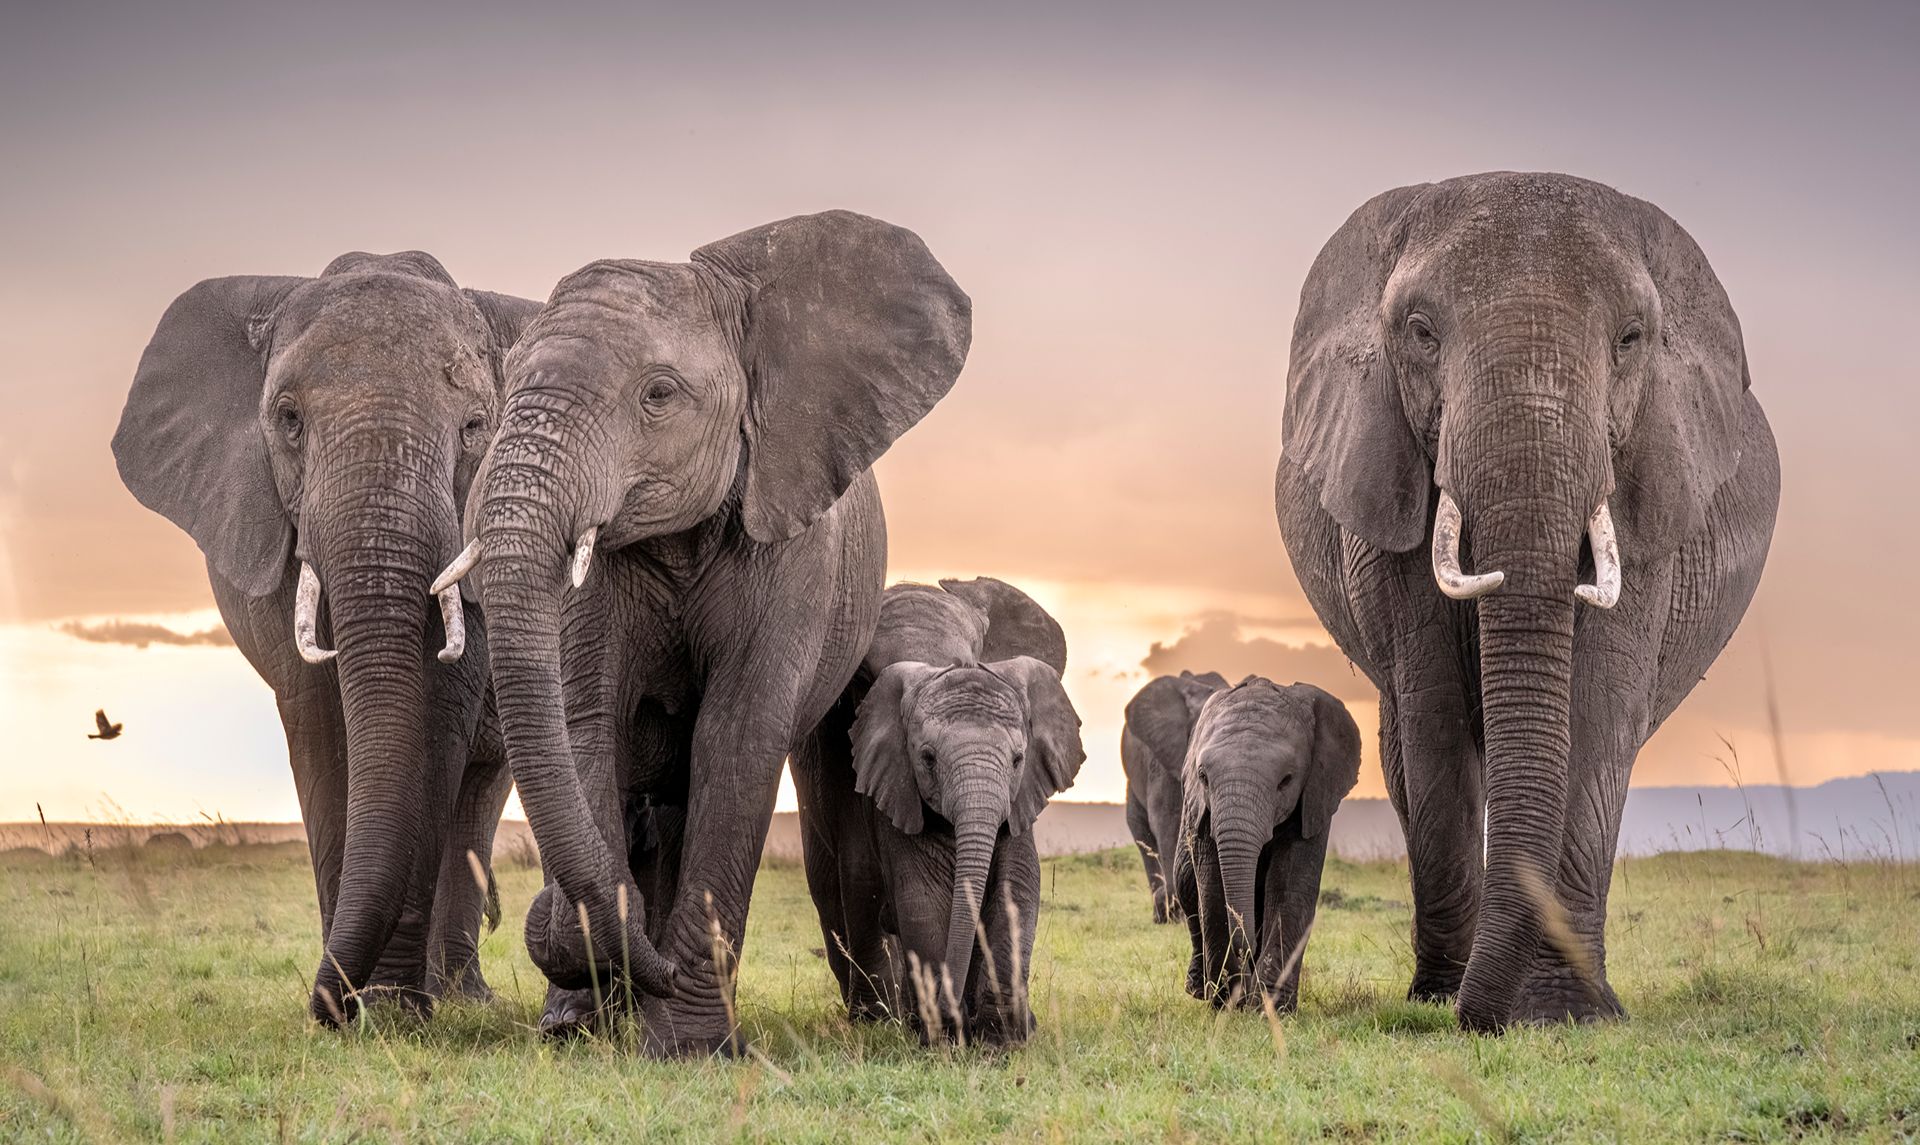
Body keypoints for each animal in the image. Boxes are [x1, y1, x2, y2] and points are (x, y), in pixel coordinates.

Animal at [112, 252, 541, 1023]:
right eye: (288, 420)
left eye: (475, 427)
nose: (329, 1004)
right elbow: (314, 715)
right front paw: (356, 1007)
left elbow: (439, 715)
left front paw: (393, 1010)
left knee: (481, 789)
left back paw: (462, 999)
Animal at [430, 211, 970, 1055]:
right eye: (505, 385)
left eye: (659, 394)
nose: (531, 916)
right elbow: (588, 719)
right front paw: (600, 997)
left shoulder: (793, 540)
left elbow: (737, 733)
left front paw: (690, 1044)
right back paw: (579, 1018)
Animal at [820, 578, 1082, 1045]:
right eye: (927, 759)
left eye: (1018, 759)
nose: (950, 1012)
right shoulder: (896, 784)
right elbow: (922, 898)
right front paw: (944, 1036)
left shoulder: (1018, 800)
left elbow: (1017, 887)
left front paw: (1003, 1039)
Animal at [1170, 677, 1359, 1012]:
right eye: (1203, 776)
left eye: (1286, 780)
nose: (1247, 951)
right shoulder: (1202, 812)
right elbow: (1212, 891)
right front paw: (1227, 1004)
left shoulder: (1313, 800)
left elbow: (1288, 887)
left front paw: (1270, 1009)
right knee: (1187, 888)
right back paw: (1200, 989)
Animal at [1274, 172, 1779, 1031]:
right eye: (1420, 332)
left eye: (1631, 339)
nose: (1474, 1018)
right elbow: (1435, 716)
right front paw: (1450, 1001)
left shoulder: (1648, 502)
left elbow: (1598, 709)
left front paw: (1566, 1012)